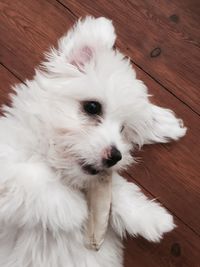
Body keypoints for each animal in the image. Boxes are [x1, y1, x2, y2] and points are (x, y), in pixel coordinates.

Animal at [0, 17, 186, 267]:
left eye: (123, 130)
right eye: (92, 107)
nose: (115, 156)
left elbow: (114, 188)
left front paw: (149, 216)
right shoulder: (9, 162)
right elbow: (31, 176)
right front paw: (73, 206)